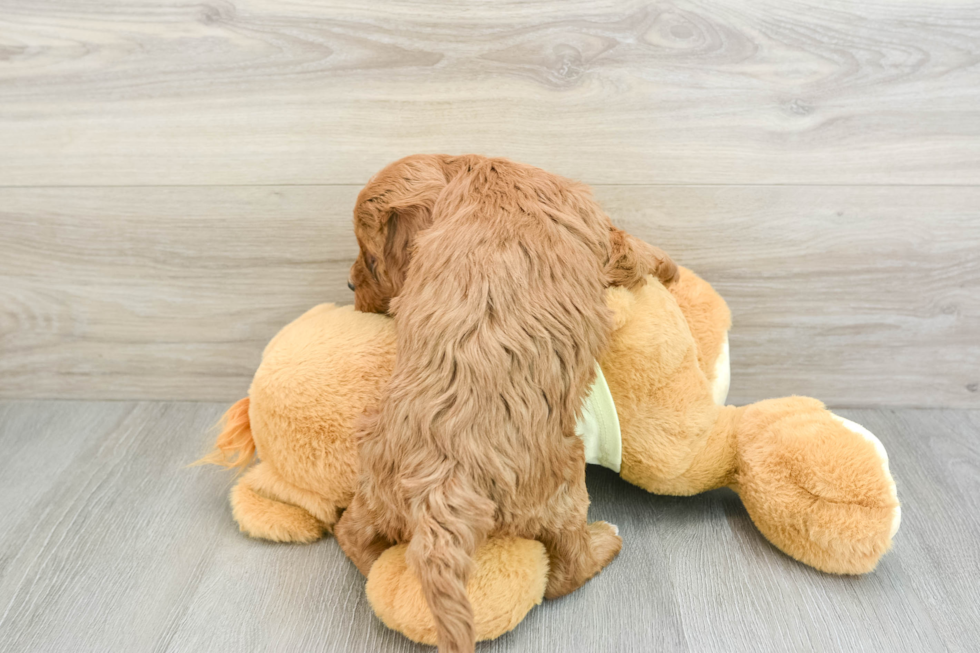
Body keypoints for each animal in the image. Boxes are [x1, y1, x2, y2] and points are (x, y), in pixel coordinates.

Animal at [336, 155, 672, 648]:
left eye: (371, 258)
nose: (348, 286)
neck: (473, 169)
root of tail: (442, 486)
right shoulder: (600, 232)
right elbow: (633, 249)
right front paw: (672, 271)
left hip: (373, 475)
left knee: (352, 533)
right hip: (565, 480)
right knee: (566, 570)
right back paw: (605, 541)